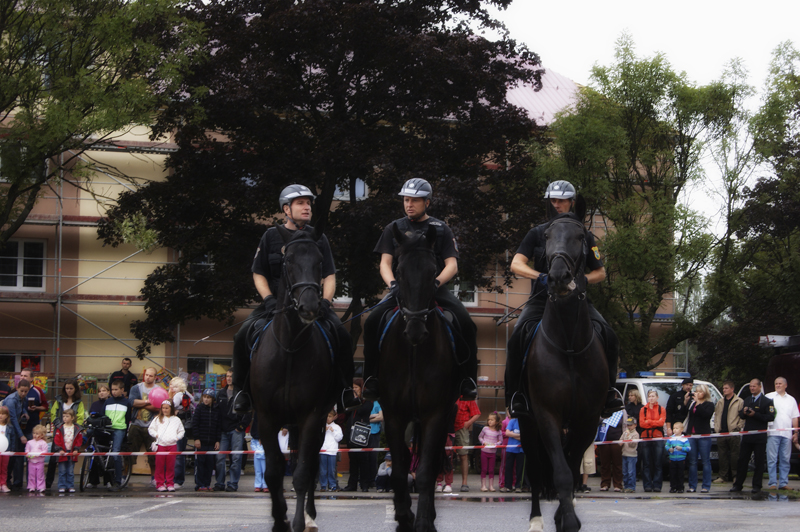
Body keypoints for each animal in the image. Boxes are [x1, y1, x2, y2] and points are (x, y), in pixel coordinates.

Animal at [250, 225, 338, 532]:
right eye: (287, 261)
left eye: (320, 262)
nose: (310, 306)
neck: (289, 348)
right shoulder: (266, 418)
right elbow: (274, 472)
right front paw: (279, 520)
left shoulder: (311, 416)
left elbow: (300, 474)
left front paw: (299, 521)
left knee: (309, 466)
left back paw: (310, 515)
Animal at [377, 223, 461, 532]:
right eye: (399, 271)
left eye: (432, 271)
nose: (415, 330)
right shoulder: (393, 414)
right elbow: (399, 469)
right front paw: (404, 517)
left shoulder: (435, 414)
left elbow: (424, 471)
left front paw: (424, 520)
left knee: (433, 463)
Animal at [517, 212, 609, 532]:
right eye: (546, 237)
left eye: (581, 237)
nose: (557, 277)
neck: (568, 345)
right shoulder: (546, 415)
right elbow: (560, 471)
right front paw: (566, 519)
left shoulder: (588, 419)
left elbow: (570, 464)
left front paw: (564, 514)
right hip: (526, 423)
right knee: (534, 470)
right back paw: (535, 520)